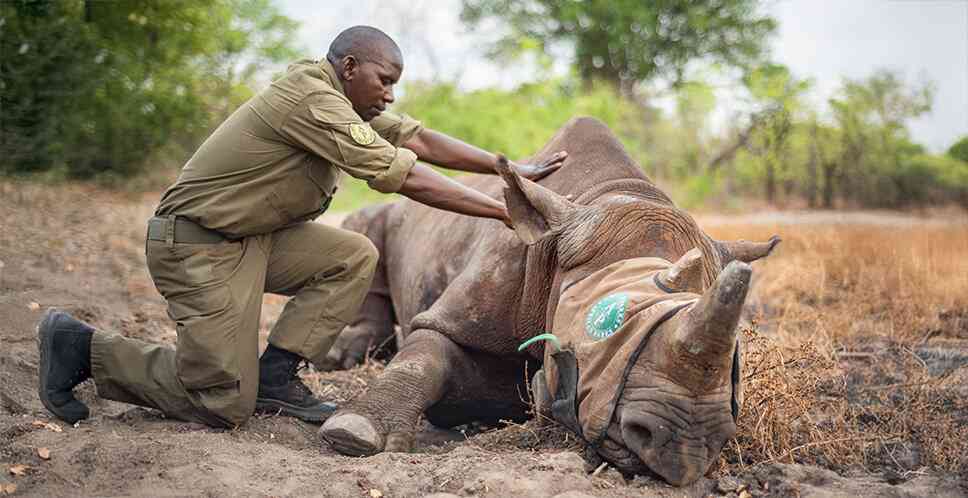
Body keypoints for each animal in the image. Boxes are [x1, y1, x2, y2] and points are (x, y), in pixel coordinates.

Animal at [318, 117, 779, 486]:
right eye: (604, 330)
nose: (687, 443)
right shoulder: (461, 307)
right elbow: (424, 355)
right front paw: (353, 433)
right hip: (391, 212)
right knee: (368, 226)